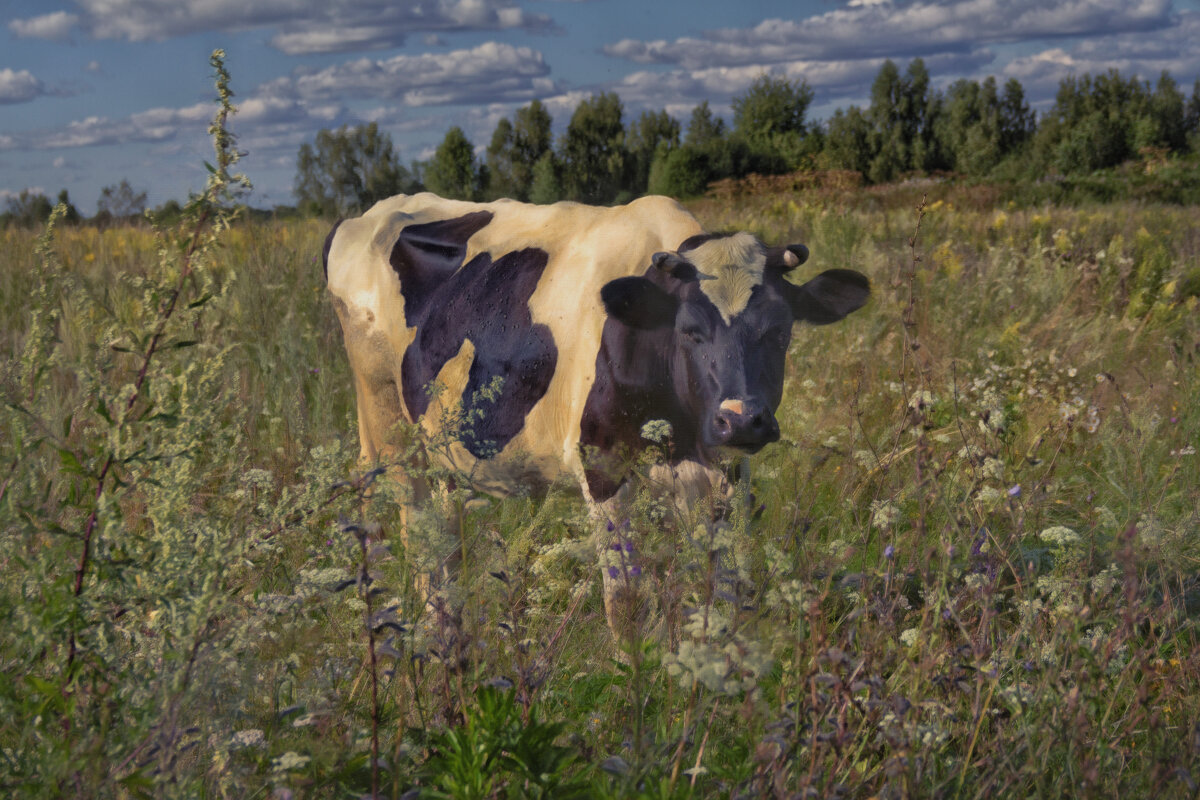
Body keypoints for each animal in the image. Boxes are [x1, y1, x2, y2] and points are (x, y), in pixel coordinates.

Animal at [324, 190, 868, 633]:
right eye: (690, 330)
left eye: (781, 329)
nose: (741, 419)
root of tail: (372, 212)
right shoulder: (604, 464)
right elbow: (627, 606)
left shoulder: (727, 472)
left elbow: (726, 589)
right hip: (388, 427)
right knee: (413, 530)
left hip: (444, 454)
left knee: (445, 538)